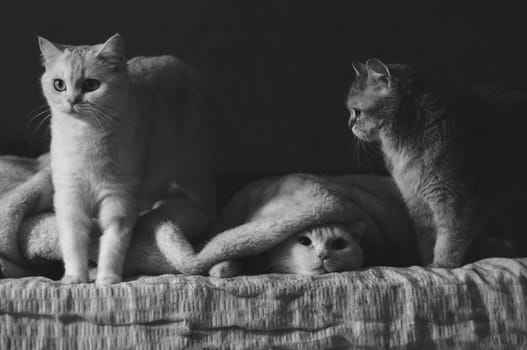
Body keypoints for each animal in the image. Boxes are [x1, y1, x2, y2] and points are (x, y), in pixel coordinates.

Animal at [38, 33, 217, 284]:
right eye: (59, 85)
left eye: (91, 85)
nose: (72, 101)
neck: (86, 137)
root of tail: (185, 67)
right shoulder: (69, 198)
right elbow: (73, 243)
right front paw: (75, 277)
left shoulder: (119, 200)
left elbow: (113, 244)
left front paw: (107, 278)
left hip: (195, 172)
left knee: (209, 209)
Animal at [346, 58, 527, 268]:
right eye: (351, 112)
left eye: (357, 112)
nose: (349, 125)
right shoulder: (417, 203)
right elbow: (427, 241)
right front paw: (425, 266)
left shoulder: (458, 201)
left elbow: (449, 240)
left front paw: (442, 265)